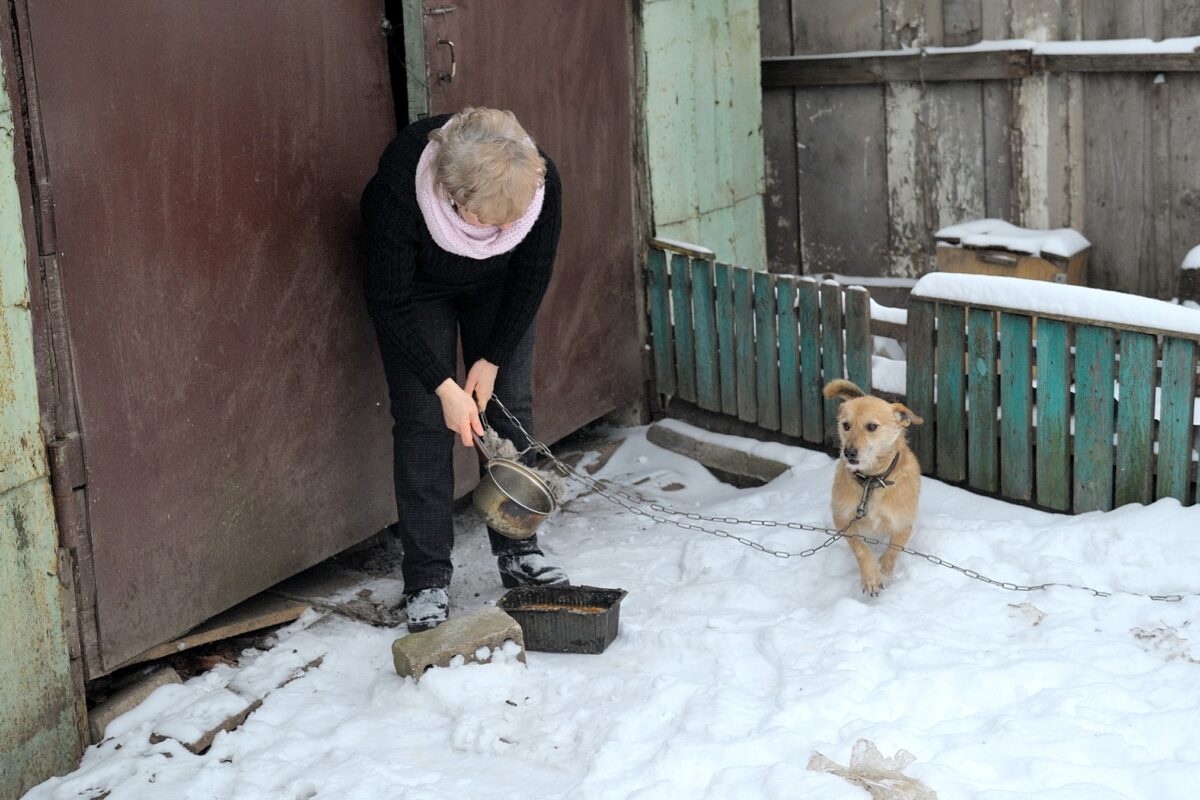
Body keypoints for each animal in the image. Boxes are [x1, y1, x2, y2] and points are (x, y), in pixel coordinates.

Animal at [825, 381, 926, 594]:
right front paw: (871, 577)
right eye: (846, 425)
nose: (848, 453)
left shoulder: (903, 524)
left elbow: (892, 552)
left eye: (871, 426)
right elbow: (860, 548)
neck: (872, 481)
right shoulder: (843, 518)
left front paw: (883, 571)